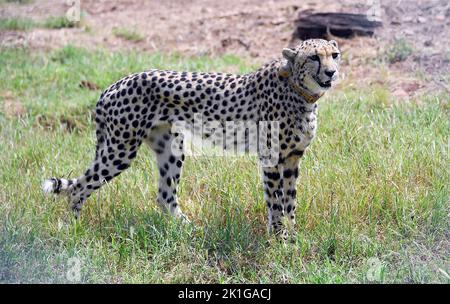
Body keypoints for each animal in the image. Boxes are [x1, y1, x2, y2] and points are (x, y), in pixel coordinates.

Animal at [44, 38, 342, 240]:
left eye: (334, 55)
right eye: (314, 57)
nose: (331, 72)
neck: (300, 92)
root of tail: (113, 85)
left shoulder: (292, 157)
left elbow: (290, 199)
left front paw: (293, 234)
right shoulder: (271, 156)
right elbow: (276, 200)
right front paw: (279, 236)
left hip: (170, 148)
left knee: (165, 196)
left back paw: (188, 229)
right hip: (120, 150)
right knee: (79, 187)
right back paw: (72, 228)